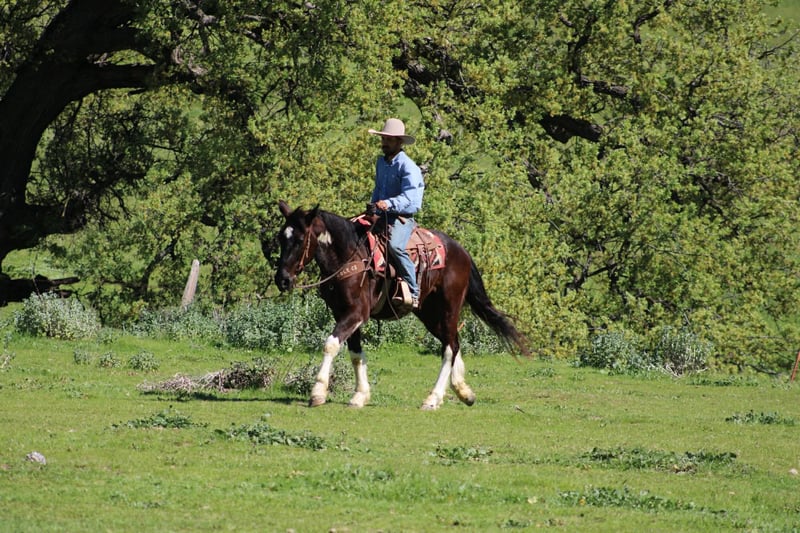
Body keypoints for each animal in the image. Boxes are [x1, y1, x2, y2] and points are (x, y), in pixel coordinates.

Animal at [270, 200, 530, 410]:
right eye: (281, 238)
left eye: (300, 239)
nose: (282, 279)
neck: (350, 256)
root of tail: (462, 251)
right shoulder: (343, 313)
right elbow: (355, 353)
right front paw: (360, 396)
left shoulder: (356, 313)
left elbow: (331, 344)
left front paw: (317, 393)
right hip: (429, 314)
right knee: (453, 343)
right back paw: (463, 392)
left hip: (449, 307)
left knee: (449, 348)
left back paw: (432, 399)